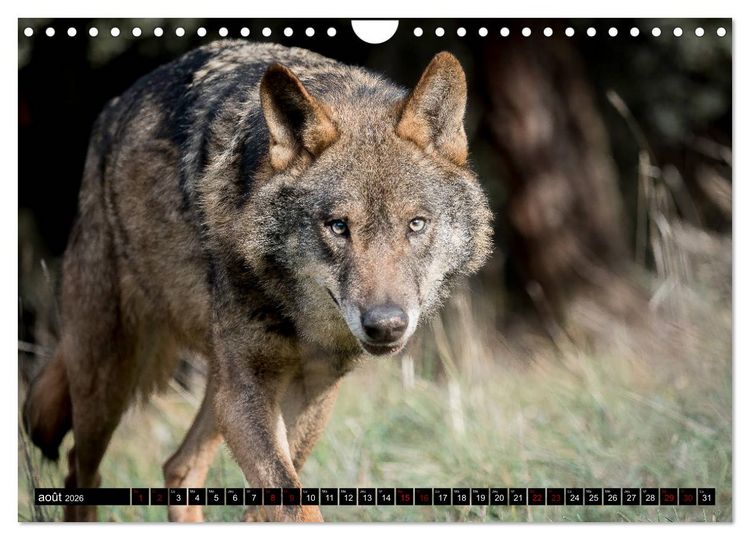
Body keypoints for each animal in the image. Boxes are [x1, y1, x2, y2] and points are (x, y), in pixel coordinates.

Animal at [23, 40, 492, 522]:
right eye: (338, 227)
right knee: (81, 470)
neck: (296, 318)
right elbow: (291, 502)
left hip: (213, 385)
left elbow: (276, 499)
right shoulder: (248, 389)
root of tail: (114, 106)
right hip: (110, 379)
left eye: (416, 224)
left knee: (179, 467)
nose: (386, 324)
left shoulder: (313, 389)